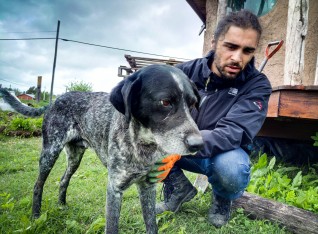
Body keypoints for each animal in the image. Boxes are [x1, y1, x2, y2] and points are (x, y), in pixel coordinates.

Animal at [0, 64, 204, 234]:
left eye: (193, 104)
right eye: (165, 102)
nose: (198, 144)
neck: (143, 145)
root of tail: (55, 100)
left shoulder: (148, 187)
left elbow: (151, 225)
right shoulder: (114, 189)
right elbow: (112, 227)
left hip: (74, 158)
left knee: (63, 180)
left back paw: (62, 205)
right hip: (50, 152)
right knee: (38, 185)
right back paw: (35, 216)